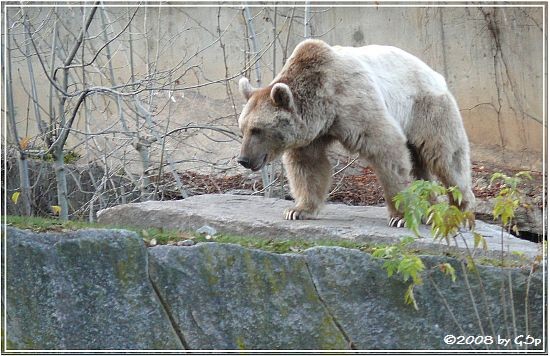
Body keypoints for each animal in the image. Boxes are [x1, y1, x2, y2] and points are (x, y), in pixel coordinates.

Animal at [236, 39, 474, 227]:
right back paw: (429, 210)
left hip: (427, 110)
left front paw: (400, 216)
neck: (324, 106)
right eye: (243, 128)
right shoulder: (312, 133)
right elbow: (308, 166)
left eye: (257, 129)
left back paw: (460, 211)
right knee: (420, 164)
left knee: (446, 157)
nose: (243, 159)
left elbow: (387, 149)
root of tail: (435, 73)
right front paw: (298, 210)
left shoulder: (353, 103)